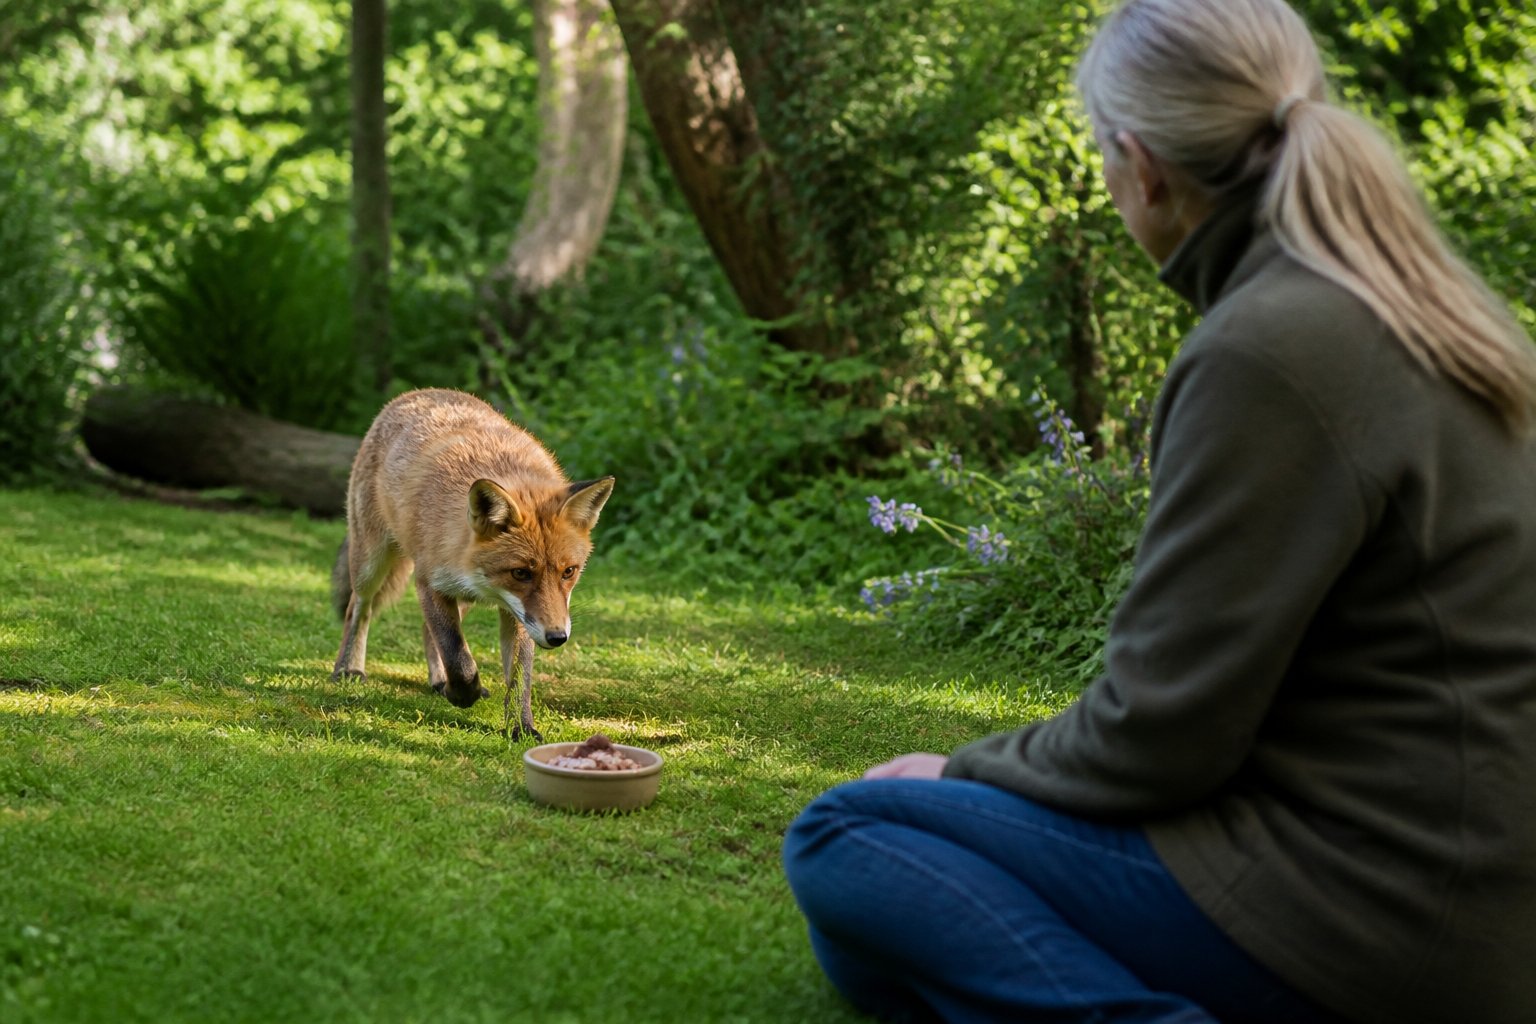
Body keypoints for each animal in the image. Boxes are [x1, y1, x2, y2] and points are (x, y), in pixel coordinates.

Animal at [330, 388, 614, 739]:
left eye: (569, 572)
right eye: (520, 573)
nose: (557, 637)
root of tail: (416, 393)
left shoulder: (518, 614)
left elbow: (518, 677)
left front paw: (521, 727)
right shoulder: (429, 583)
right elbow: (457, 654)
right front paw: (464, 694)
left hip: (460, 597)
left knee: (426, 630)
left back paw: (439, 682)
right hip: (371, 562)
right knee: (359, 609)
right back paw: (348, 668)